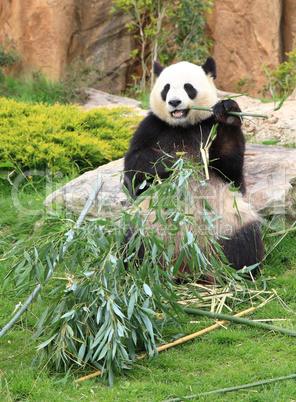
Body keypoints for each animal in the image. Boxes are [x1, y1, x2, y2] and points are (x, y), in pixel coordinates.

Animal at [123, 56, 264, 278]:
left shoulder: (208, 126)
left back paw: (234, 273)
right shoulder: (152, 127)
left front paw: (228, 114)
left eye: (188, 87)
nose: (174, 102)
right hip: (146, 225)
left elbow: (231, 168)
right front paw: (170, 162)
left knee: (245, 245)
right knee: (134, 247)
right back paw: (141, 273)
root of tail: (187, 261)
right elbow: (134, 171)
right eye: (166, 88)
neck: (183, 125)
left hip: (230, 223)